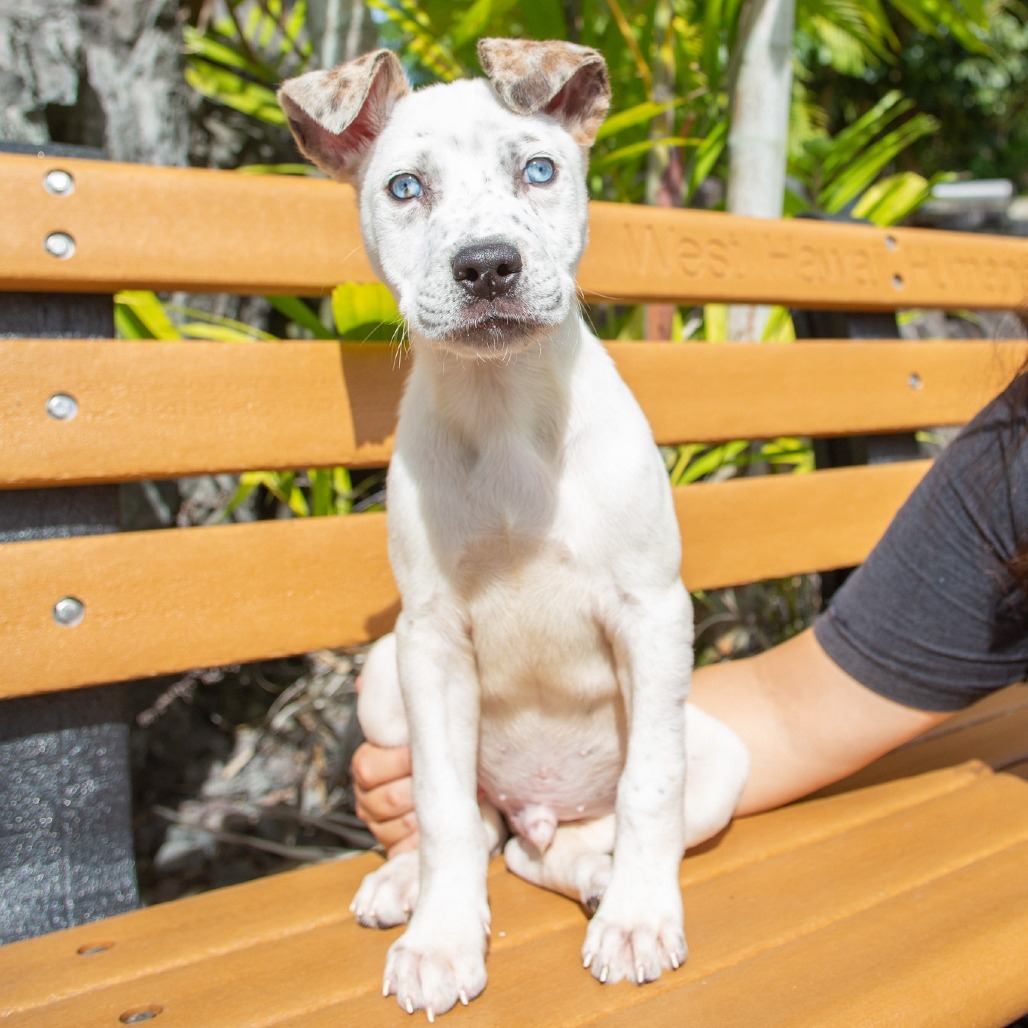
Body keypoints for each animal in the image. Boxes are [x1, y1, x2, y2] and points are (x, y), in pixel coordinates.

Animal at [277, 40, 752, 1019]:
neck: (504, 416)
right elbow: (441, 808)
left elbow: (651, 787)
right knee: (487, 830)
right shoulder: (428, 640)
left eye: (538, 170)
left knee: (561, 848)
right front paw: (441, 941)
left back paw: (603, 882)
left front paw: (639, 921)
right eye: (405, 187)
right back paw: (406, 883)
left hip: (721, 758)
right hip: (380, 678)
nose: (487, 266)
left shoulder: (653, 614)